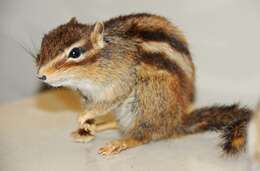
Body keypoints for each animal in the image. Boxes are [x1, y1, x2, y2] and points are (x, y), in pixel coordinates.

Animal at [35, 13, 252, 155]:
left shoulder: (121, 81)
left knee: (143, 135)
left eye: (75, 52)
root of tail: (176, 123)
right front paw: (85, 128)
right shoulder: (86, 95)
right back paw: (103, 127)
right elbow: (91, 109)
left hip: (148, 98)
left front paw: (83, 119)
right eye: (43, 42)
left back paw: (120, 142)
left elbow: (107, 102)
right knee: (121, 124)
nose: (40, 76)